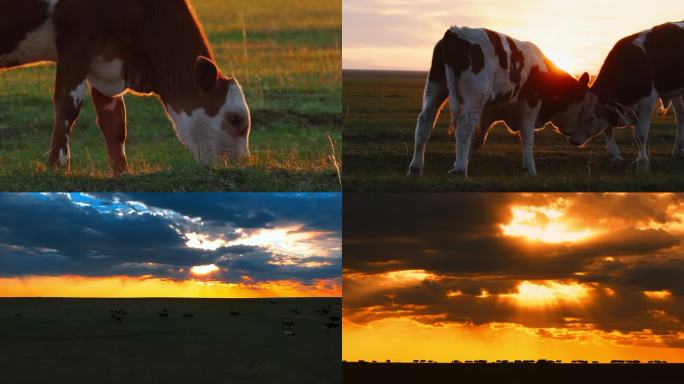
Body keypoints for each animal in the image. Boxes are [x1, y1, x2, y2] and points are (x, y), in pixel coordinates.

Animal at [0, 0, 251, 174]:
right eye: (235, 120)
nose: (241, 164)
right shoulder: (76, 41)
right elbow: (68, 106)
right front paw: (58, 165)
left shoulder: (106, 62)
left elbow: (114, 120)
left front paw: (122, 171)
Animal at [408, 26, 616, 177]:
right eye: (590, 113)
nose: (580, 142)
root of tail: (456, 32)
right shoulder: (530, 107)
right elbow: (527, 138)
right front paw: (530, 169)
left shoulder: (489, 111)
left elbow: (477, 140)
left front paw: (461, 160)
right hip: (473, 96)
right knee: (464, 125)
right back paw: (459, 170)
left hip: (436, 87)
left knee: (425, 122)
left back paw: (416, 167)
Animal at [568, 21, 684, 173]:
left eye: (591, 118)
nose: (573, 140)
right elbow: (607, 129)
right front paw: (614, 157)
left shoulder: (647, 100)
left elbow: (640, 134)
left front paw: (642, 164)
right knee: (681, 116)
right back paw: (677, 152)